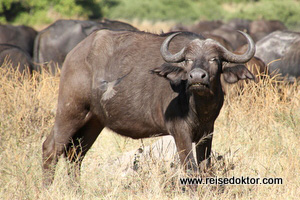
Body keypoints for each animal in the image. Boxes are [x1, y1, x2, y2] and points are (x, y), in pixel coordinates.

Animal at [41, 28, 254, 186]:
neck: (198, 106)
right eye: (188, 60)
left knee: (75, 155)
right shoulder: (180, 131)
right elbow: (190, 169)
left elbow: (206, 169)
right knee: (51, 148)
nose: (196, 77)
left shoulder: (207, 132)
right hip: (70, 111)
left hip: (94, 121)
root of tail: (74, 54)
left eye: (214, 59)